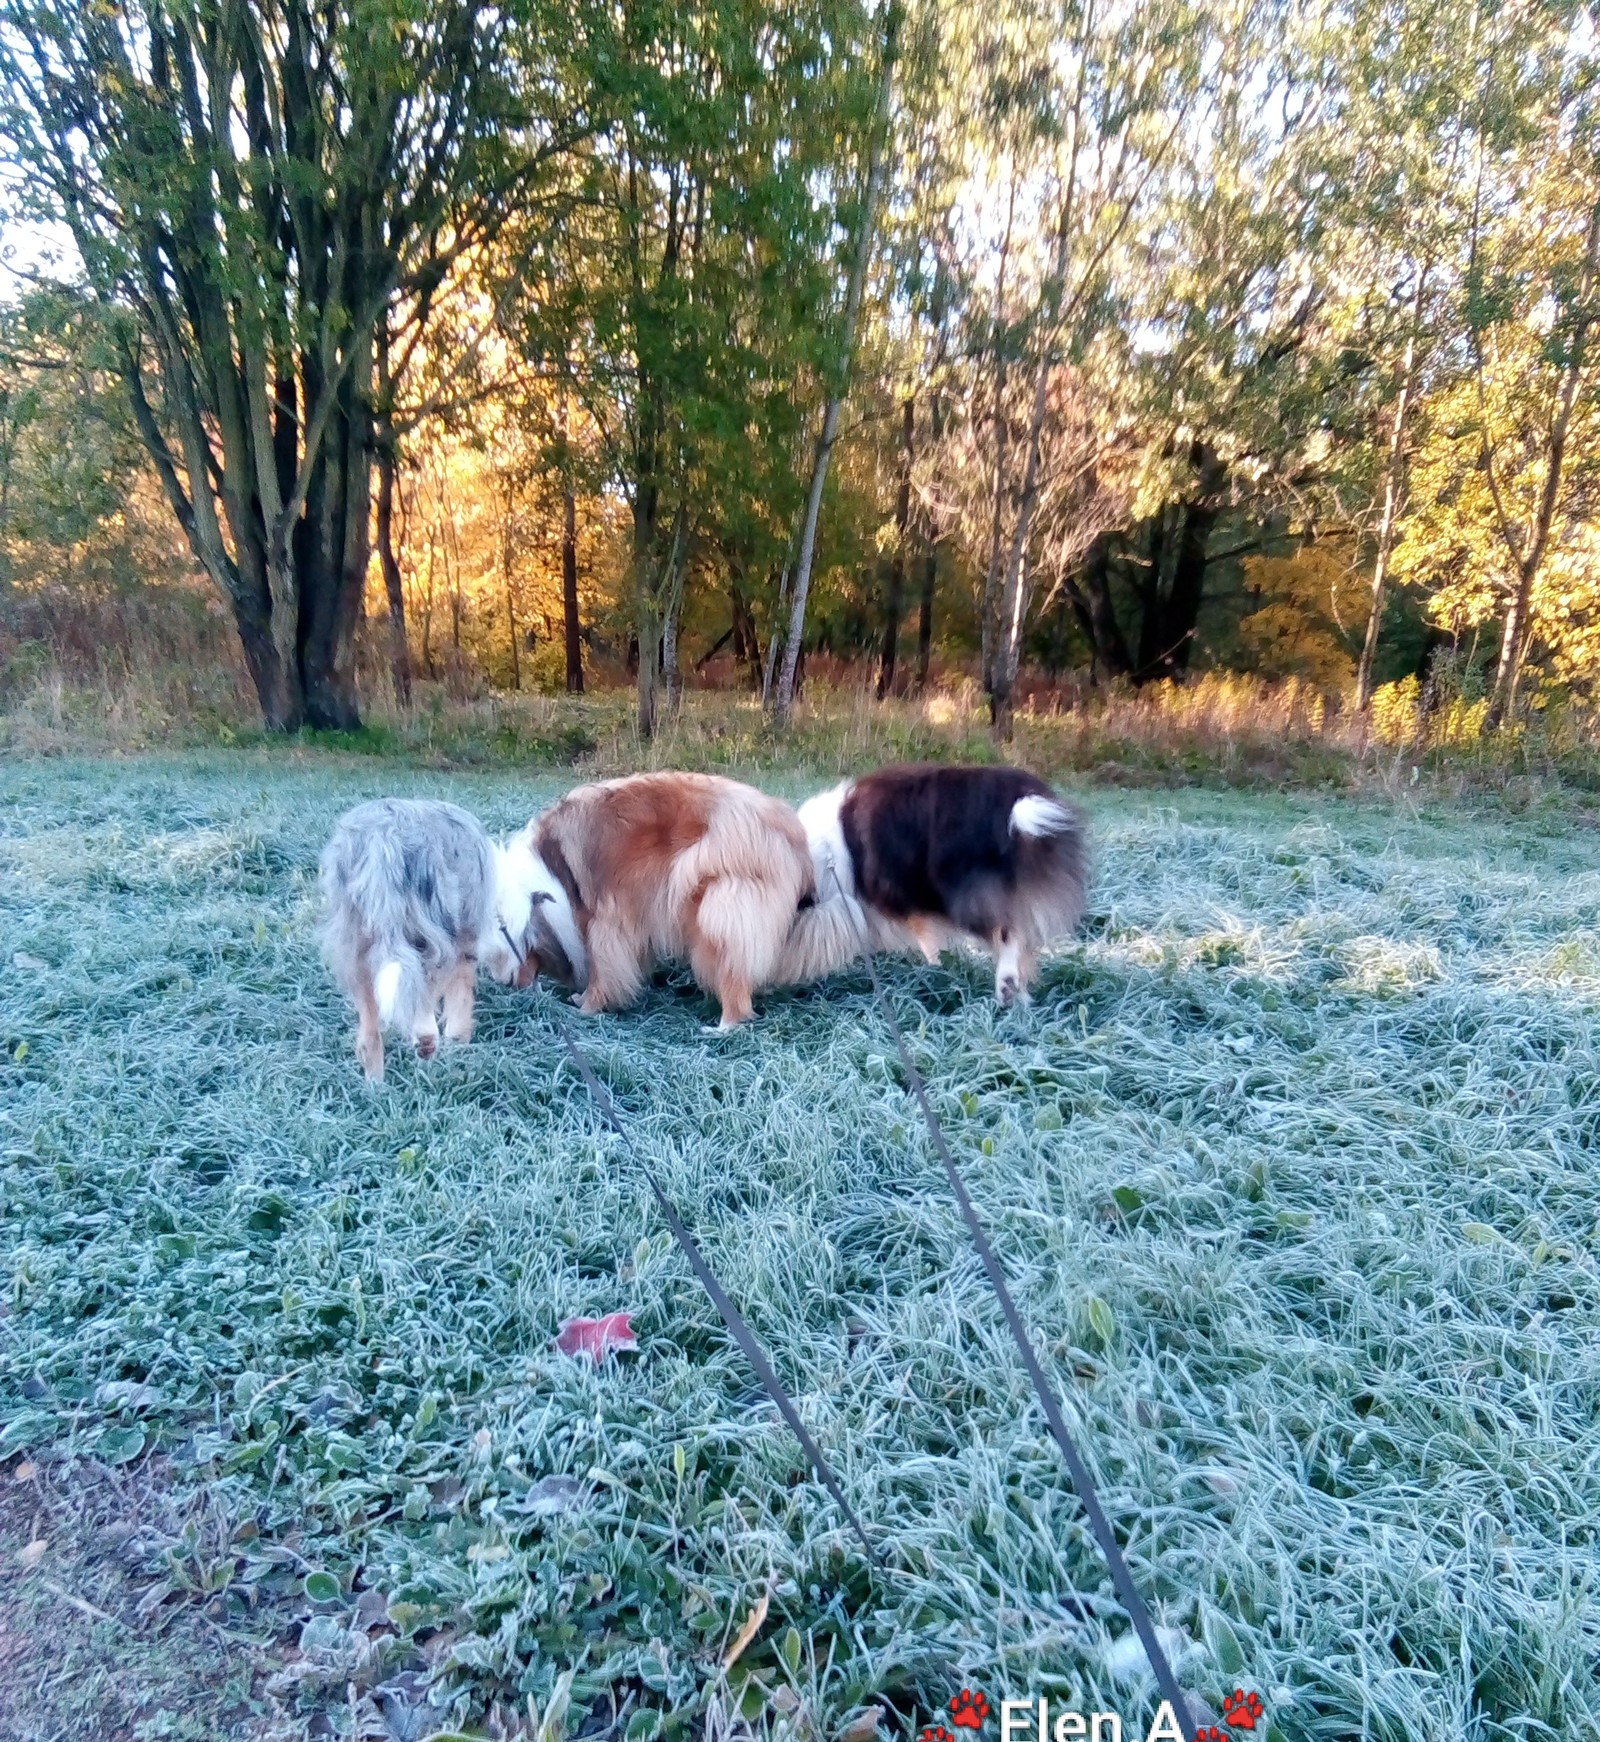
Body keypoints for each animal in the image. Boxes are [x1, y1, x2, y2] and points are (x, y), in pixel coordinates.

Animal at [315, 797, 571, 1073]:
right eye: (533, 945)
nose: (527, 985)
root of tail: (380, 840)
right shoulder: (465, 942)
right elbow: (460, 994)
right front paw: (459, 1042)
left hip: (354, 938)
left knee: (369, 1028)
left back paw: (376, 1079)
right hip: (438, 925)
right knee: (425, 984)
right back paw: (426, 1037)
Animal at [501, 773, 819, 1024]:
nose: (509, 987)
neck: (547, 878)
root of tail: (789, 827)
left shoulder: (602, 922)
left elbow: (600, 970)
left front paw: (587, 1008)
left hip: (719, 908)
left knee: (734, 975)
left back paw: (724, 1026)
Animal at [787, 762, 1087, 1010]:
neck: (822, 857)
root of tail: (1016, 798)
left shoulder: (909, 899)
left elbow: (928, 943)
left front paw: (935, 972)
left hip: (963, 890)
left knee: (1006, 932)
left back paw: (1006, 984)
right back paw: (1021, 995)